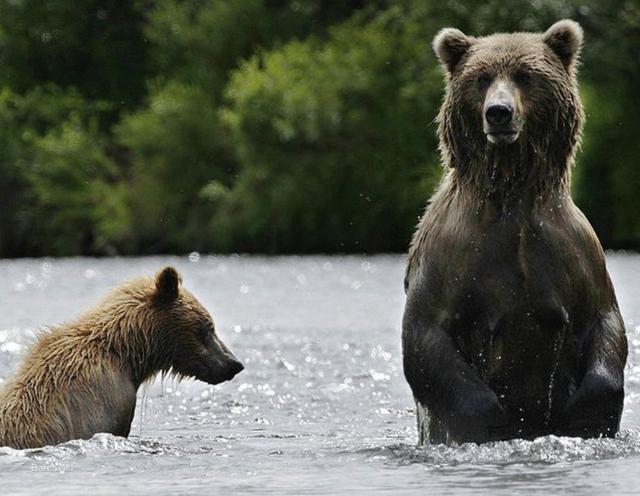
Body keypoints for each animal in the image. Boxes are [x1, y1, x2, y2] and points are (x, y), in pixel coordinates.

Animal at [402, 20, 628, 446]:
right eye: (481, 77)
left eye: (525, 75)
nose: (498, 113)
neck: (513, 194)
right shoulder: (451, 258)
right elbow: (426, 338)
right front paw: (492, 420)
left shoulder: (574, 254)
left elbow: (605, 326)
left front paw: (584, 414)